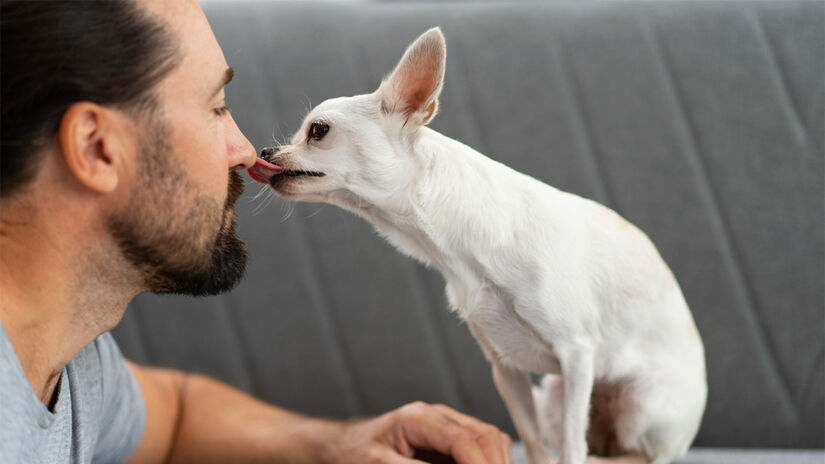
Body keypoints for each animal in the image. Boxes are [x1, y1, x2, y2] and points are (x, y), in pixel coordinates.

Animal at [248, 29, 704, 464]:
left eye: (318, 131)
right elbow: (533, 443)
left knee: (634, 454)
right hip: (553, 397)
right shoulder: (507, 371)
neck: (457, 252)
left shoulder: (577, 355)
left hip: (637, 404)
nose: (266, 150)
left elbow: (572, 447)